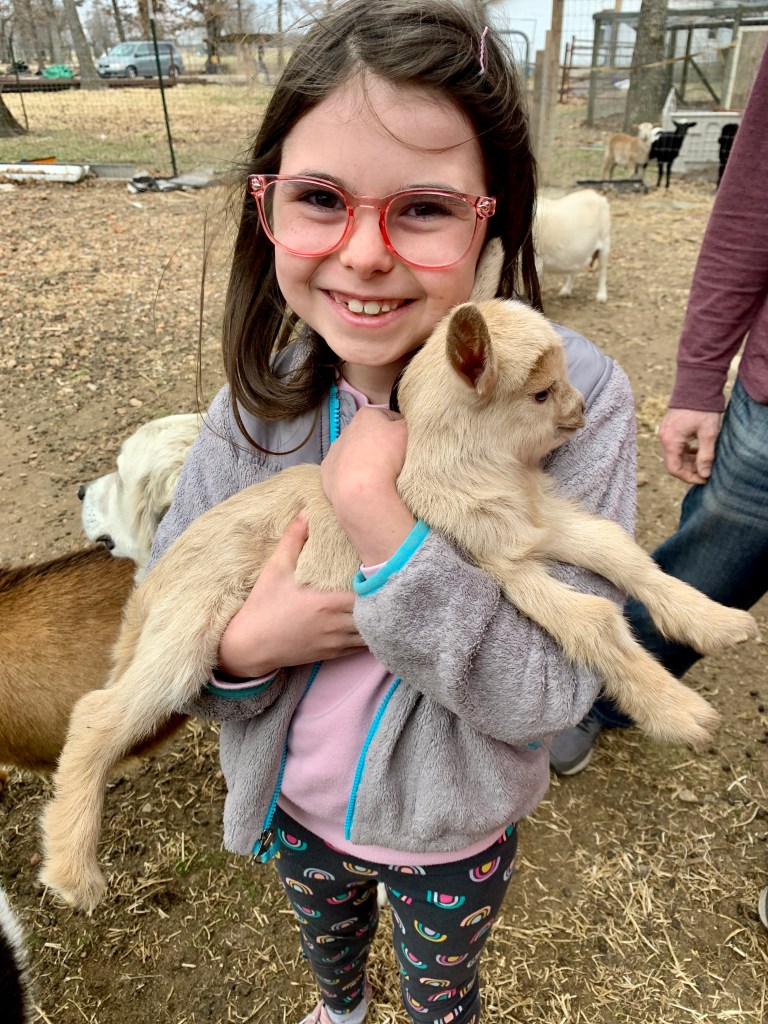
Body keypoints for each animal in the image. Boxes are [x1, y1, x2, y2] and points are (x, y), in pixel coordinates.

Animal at [39, 297, 758, 913]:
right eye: (540, 392)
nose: (580, 413)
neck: (459, 470)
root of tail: (156, 576)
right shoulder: (500, 564)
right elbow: (593, 618)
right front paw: (682, 714)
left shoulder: (531, 526)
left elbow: (619, 551)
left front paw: (718, 622)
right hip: (189, 627)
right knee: (98, 715)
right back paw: (74, 872)